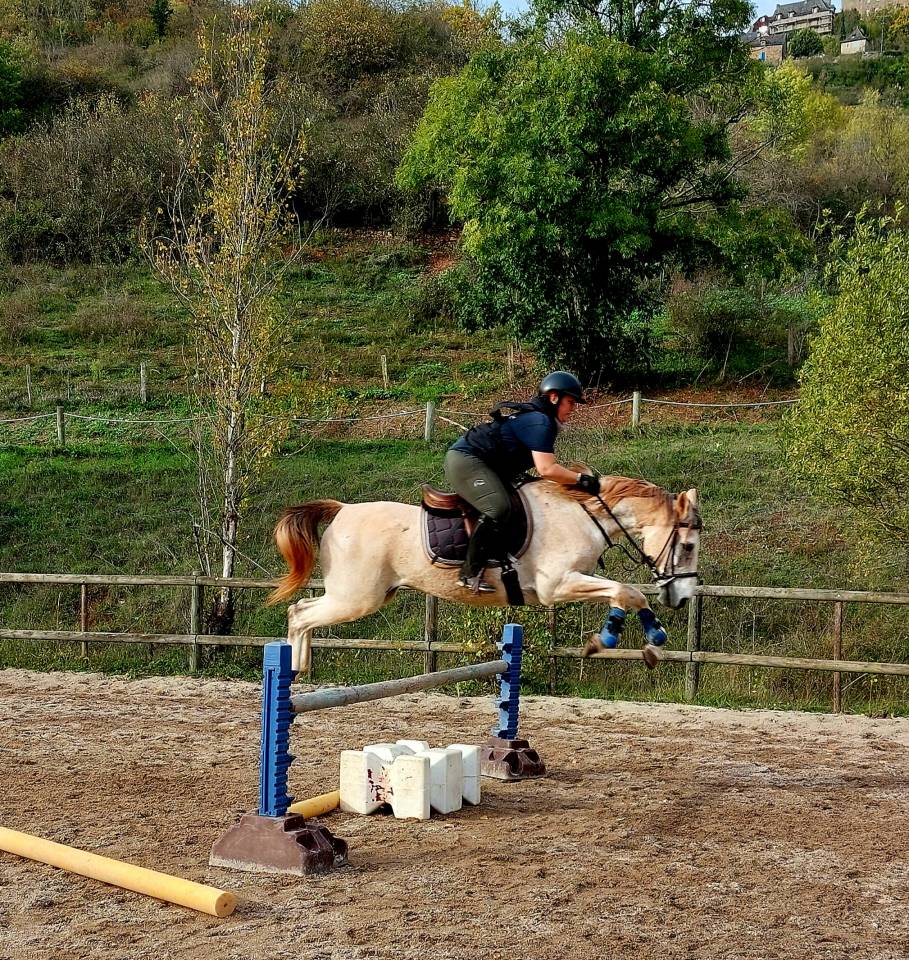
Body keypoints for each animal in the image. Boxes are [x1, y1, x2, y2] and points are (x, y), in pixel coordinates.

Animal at [268, 475, 702, 673]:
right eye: (688, 546)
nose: (681, 598)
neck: (581, 514)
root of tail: (341, 510)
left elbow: (628, 593)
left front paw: (649, 641)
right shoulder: (557, 586)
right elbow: (627, 592)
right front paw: (612, 639)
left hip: (363, 595)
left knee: (302, 612)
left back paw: (299, 670)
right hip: (356, 598)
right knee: (300, 614)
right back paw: (293, 671)